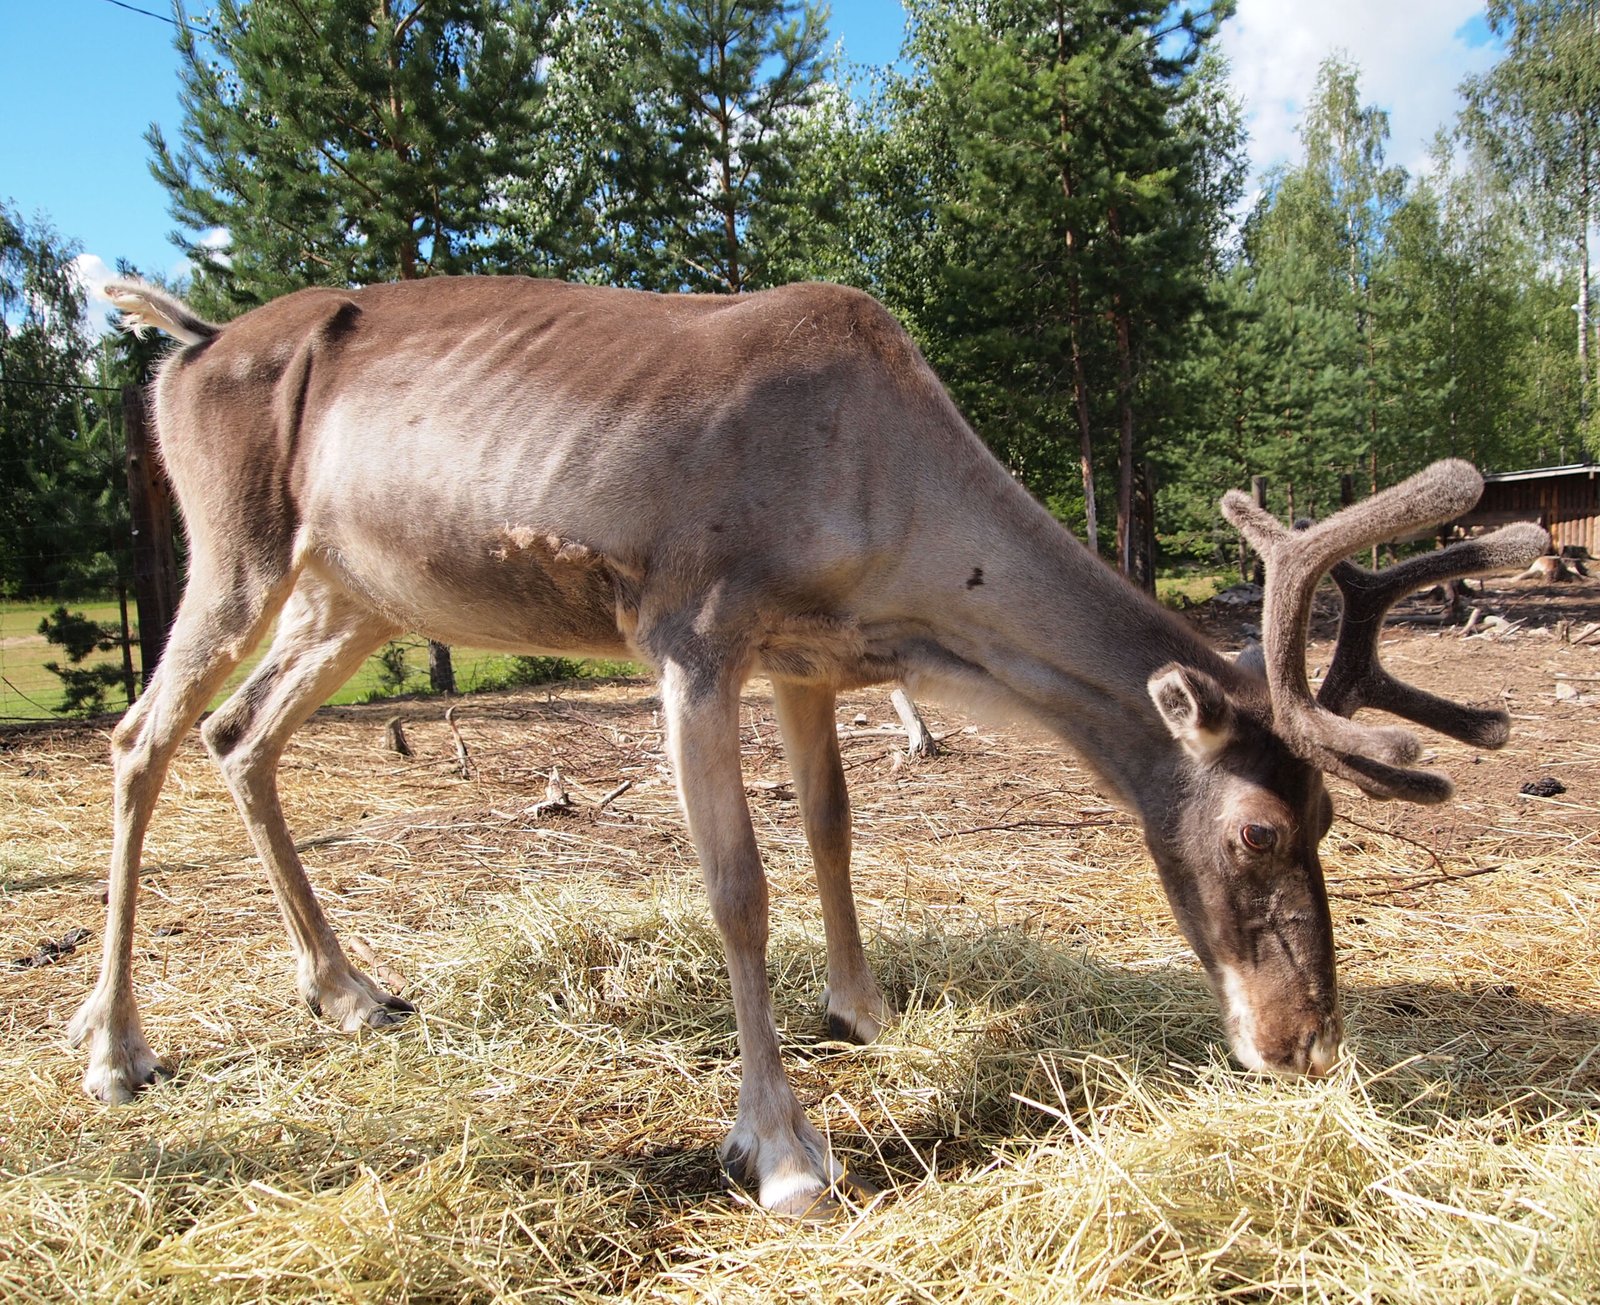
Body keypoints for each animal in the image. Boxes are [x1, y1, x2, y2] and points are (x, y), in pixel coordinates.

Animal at [80, 275, 1544, 1217]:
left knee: (238, 734)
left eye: (1335, 818)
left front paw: (863, 1008)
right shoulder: (692, 632)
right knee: (142, 734)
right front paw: (781, 1147)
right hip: (236, 543)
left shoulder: (808, 656)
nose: (1304, 1043)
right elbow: (739, 887)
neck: (901, 558)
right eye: (1257, 829)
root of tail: (182, 346)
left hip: (353, 592)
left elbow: (835, 830)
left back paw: (348, 988)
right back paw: (117, 1049)